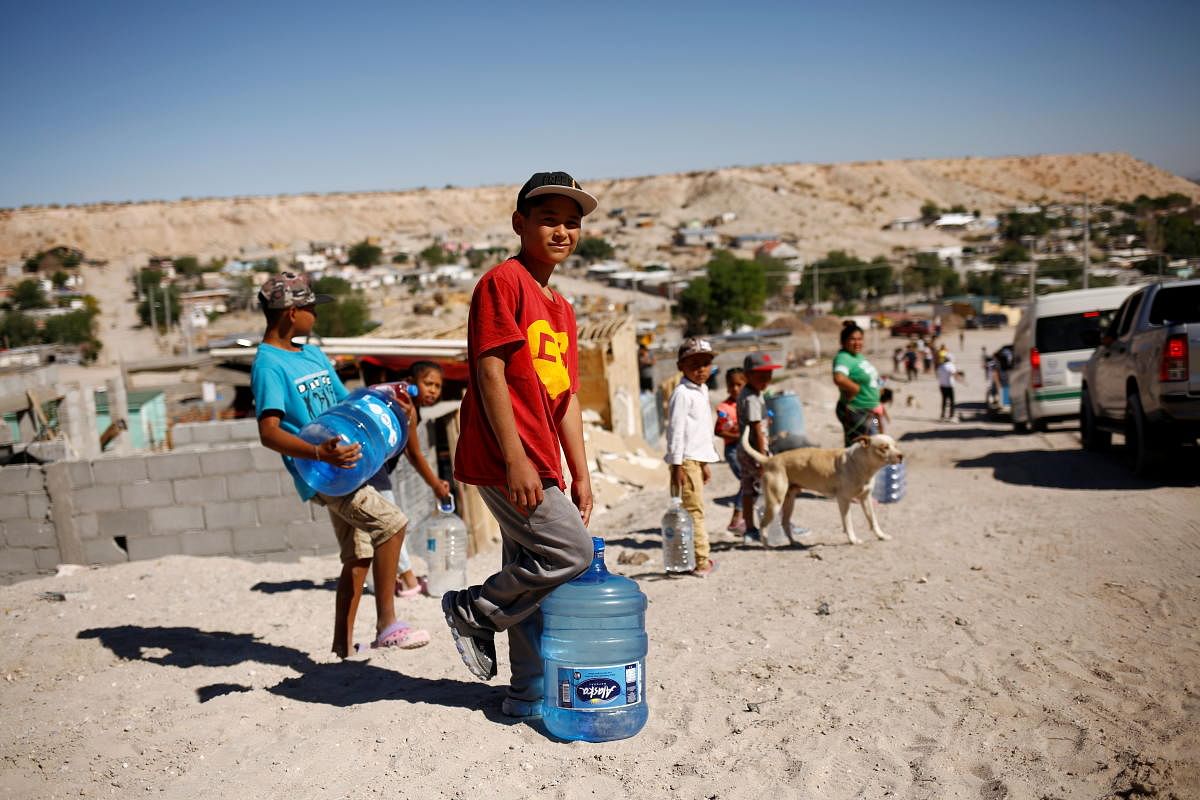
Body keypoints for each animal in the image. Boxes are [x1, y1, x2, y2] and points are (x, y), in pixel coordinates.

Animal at [734, 431, 902, 544]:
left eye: (895, 445)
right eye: (884, 447)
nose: (901, 456)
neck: (860, 464)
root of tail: (770, 460)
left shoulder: (865, 499)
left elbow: (873, 520)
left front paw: (881, 536)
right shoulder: (844, 500)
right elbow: (848, 522)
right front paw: (853, 540)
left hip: (789, 501)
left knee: (784, 523)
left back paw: (793, 543)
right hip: (775, 503)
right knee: (763, 525)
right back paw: (767, 546)